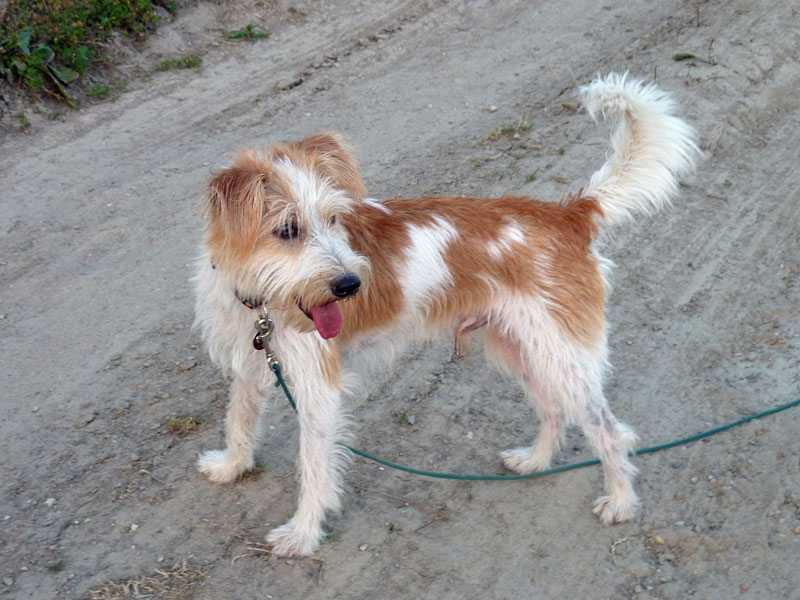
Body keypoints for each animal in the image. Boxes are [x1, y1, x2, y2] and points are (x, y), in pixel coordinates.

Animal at [193, 73, 700, 556]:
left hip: (562, 356)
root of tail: (566, 214)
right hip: (518, 349)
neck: (262, 303)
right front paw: (231, 466)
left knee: (610, 432)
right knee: (554, 409)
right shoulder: (248, 363)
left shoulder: (318, 391)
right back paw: (534, 461)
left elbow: (314, 467)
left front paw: (302, 534)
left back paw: (621, 503)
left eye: (335, 219)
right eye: (287, 230)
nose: (350, 286)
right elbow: (239, 421)